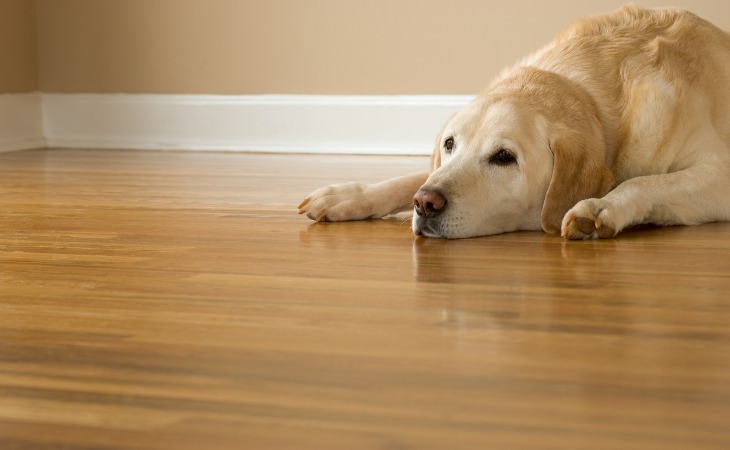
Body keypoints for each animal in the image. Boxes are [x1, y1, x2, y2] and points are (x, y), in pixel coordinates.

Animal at [296, 6, 728, 239]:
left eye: (504, 157)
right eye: (449, 144)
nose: (425, 203)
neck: (588, 95)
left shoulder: (719, 172)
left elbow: (644, 182)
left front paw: (600, 206)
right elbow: (410, 177)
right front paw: (347, 195)